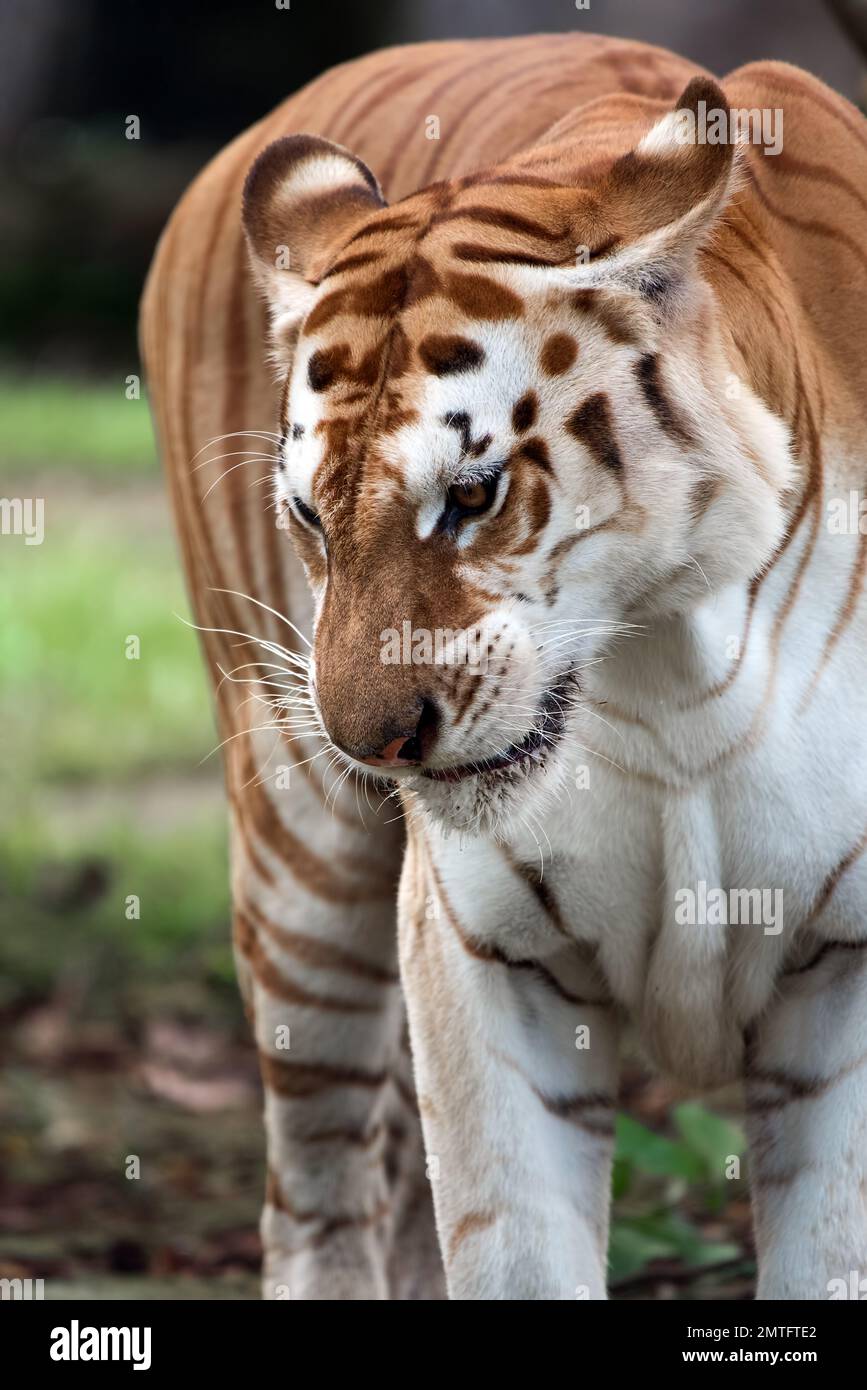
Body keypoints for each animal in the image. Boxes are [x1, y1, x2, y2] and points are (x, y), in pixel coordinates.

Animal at [140, 29, 867, 1289]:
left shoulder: (850, 965)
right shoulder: (486, 955)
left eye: (472, 496)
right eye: (311, 517)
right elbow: (513, 1245)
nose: (374, 741)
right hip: (301, 864)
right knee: (320, 1198)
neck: (681, 666)